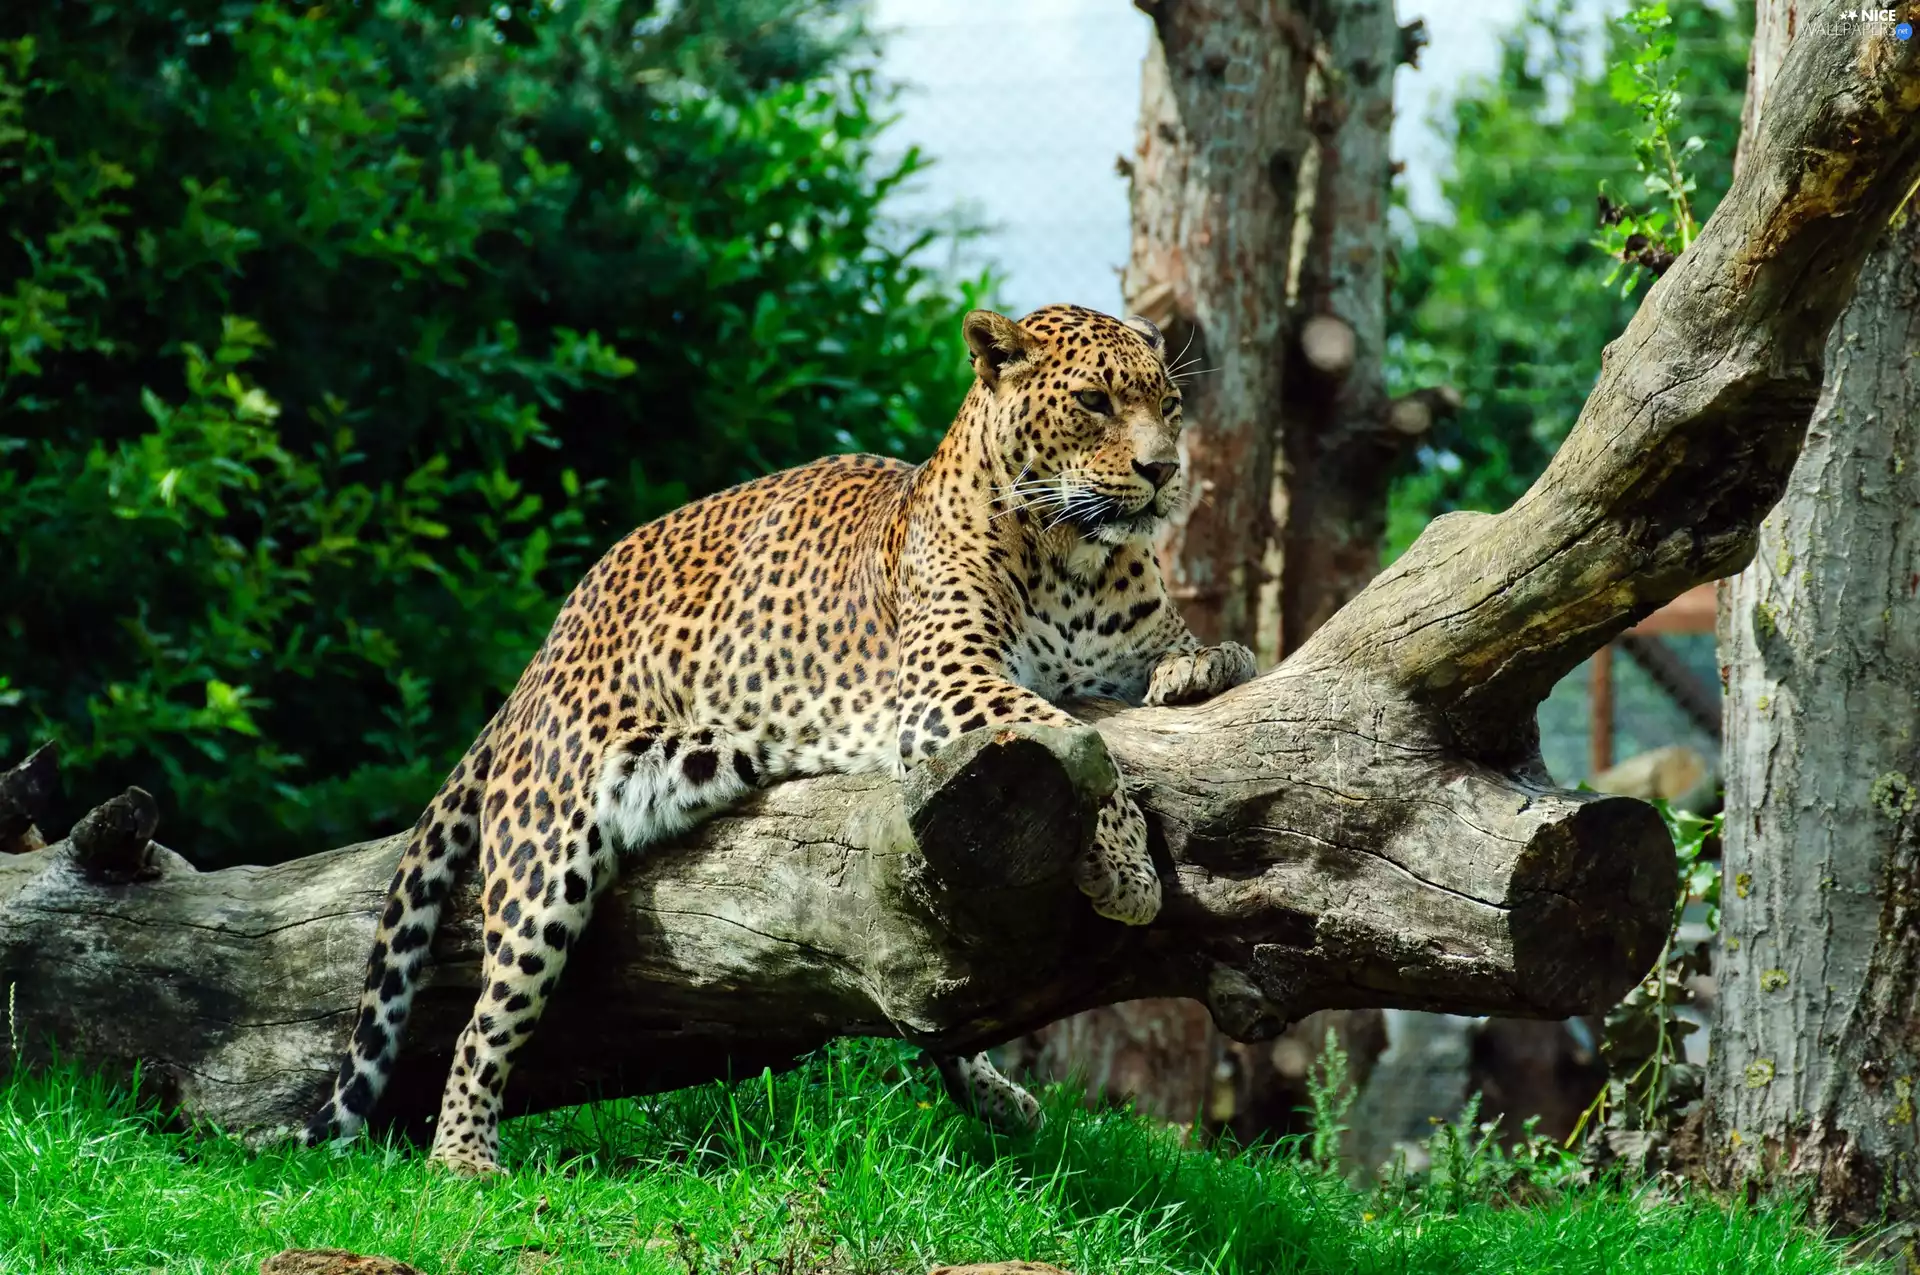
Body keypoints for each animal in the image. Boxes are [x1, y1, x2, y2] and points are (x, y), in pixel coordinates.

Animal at [302, 302, 1258, 1175]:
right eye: (1094, 401)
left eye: (1170, 403)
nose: (1165, 471)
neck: (1077, 560)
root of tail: (551, 640)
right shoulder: (945, 684)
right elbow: (1078, 737)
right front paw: (1131, 871)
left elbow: (1220, 657)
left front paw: (1198, 670)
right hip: (547, 856)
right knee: (485, 1018)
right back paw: (464, 1156)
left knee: (943, 996)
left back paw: (996, 1095)